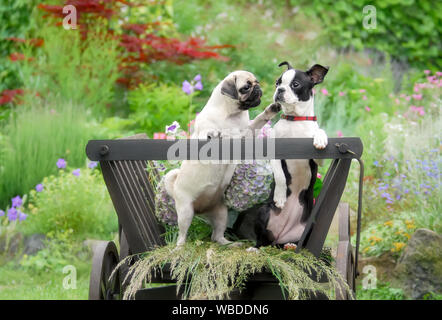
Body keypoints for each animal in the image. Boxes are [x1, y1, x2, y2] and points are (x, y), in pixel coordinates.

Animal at [164, 71, 282, 246]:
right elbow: (209, 133)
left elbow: (259, 120)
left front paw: (271, 109)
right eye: (246, 87)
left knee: (217, 236)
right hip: (185, 212)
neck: (232, 114)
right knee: (182, 234)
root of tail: (201, 210)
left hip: (221, 213)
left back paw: (230, 244)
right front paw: (214, 133)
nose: (258, 88)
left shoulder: (246, 134)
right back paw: (179, 247)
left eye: (257, 82)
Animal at [250, 60, 330, 250]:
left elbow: (320, 133)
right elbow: (280, 175)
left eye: (295, 84)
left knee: (298, 242)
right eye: (277, 83)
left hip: (310, 224)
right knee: (262, 240)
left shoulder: (318, 159)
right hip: (263, 212)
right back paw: (255, 248)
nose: (280, 90)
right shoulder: (275, 152)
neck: (295, 120)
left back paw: (291, 246)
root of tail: (280, 237)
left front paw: (321, 138)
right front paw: (280, 196)